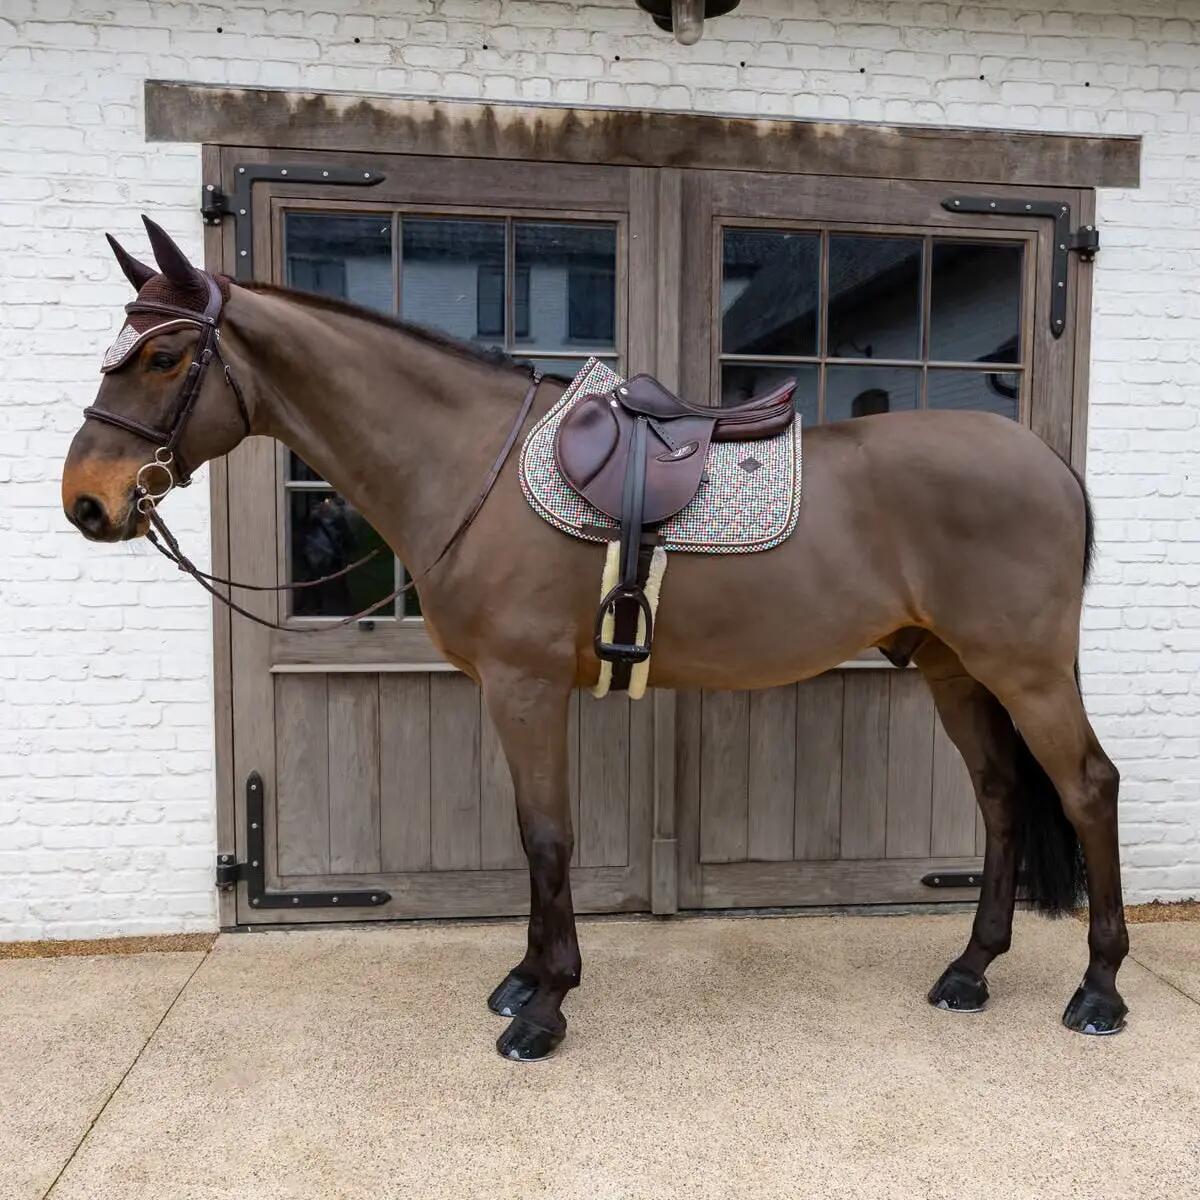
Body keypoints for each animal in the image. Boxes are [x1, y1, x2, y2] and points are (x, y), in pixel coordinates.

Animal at [62, 218, 1129, 1061]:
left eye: (162, 358)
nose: (88, 502)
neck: (473, 467)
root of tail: (1050, 464)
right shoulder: (513, 692)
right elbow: (534, 835)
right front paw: (524, 979)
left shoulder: (524, 685)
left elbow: (548, 837)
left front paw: (545, 1007)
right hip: (954, 669)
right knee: (1000, 799)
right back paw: (971, 969)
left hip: (1025, 671)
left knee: (1086, 787)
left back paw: (1098, 990)